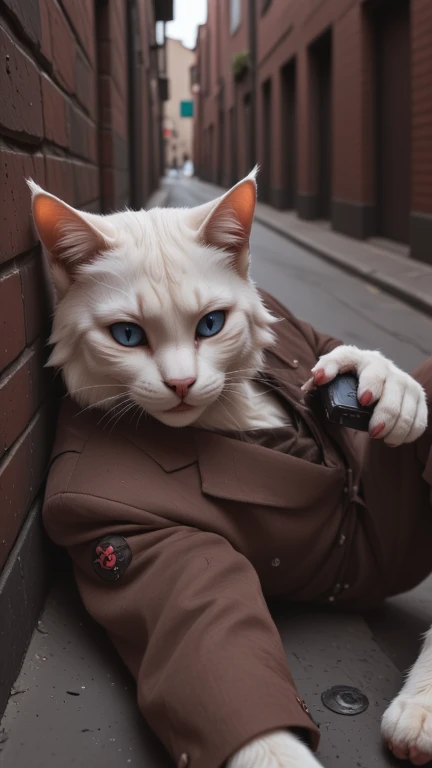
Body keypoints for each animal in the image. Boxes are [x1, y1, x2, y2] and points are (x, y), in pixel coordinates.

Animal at [27, 170, 428, 768]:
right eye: (127, 336)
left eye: (211, 325)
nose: (181, 384)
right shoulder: (112, 525)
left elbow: (333, 348)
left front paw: (385, 380)